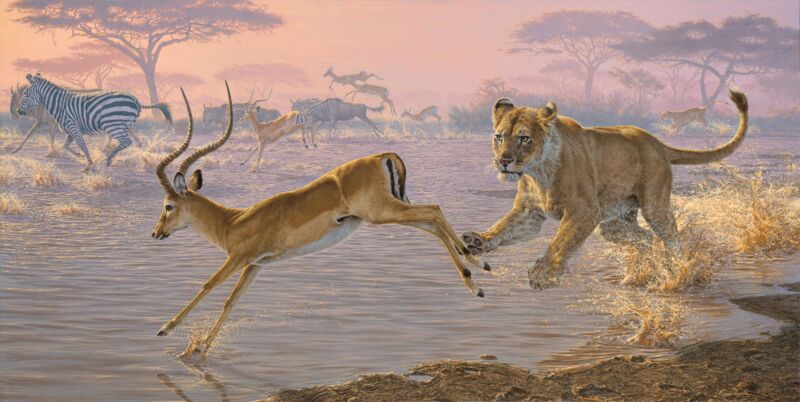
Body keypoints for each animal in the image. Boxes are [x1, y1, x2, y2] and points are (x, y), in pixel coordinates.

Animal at [461, 89, 748, 289]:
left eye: (524, 138)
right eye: (499, 137)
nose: (504, 161)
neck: (538, 172)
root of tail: (657, 142)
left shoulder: (584, 211)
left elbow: (560, 242)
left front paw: (543, 275)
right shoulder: (528, 213)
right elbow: (504, 227)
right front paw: (477, 241)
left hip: (653, 206)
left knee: (670, 236)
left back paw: (678, 270)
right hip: (613, 223)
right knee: (645, 239)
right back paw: (637, 276)